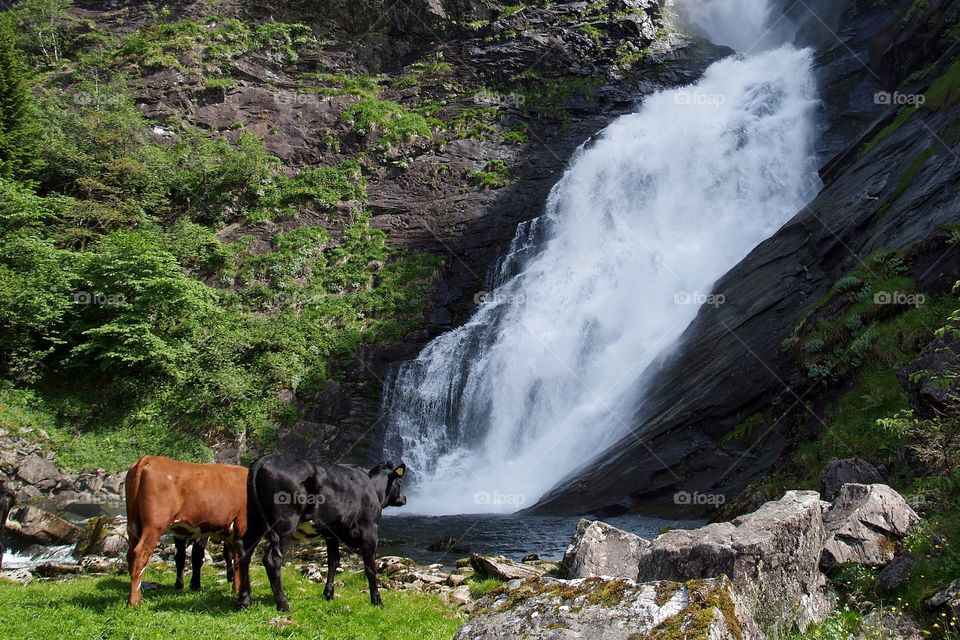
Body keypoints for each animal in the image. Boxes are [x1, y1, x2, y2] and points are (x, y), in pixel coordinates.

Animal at [124, 456, 247, 606]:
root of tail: (151, 458)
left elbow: (236, 560)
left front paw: (236, 589)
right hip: (154, 526)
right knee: (140, 554)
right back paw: (135, 601)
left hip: (133, 524)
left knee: (131, 554)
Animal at [236, 455, 406, 611]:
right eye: (399, 482)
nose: (404, 498)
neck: (373, 487)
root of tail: (265, 459)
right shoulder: (370, 531)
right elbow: (370, 567)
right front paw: (377, 601)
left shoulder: (332, 533)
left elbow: (333, 562)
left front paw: (328, 594)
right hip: (285, 524)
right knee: (272, 560)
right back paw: (283, 604)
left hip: (255, 522)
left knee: (245, 551)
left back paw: (244, 601)